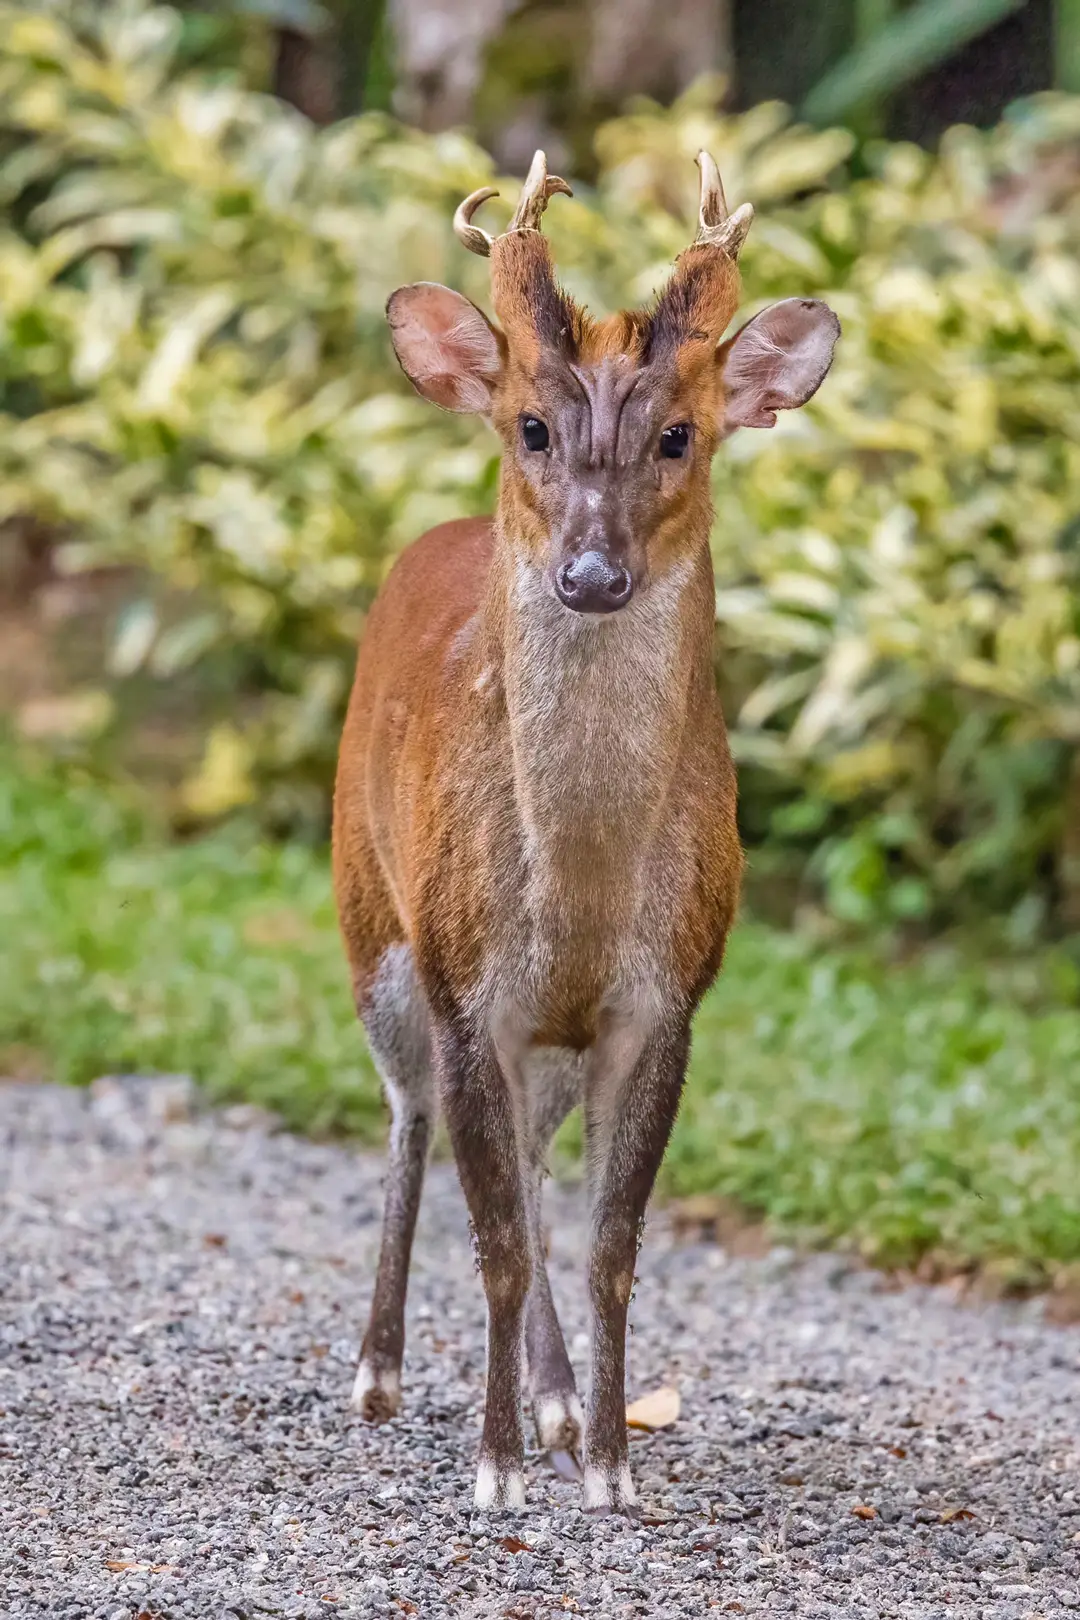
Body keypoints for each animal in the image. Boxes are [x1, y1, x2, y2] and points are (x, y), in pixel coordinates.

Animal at [333, 145, 841, 1509]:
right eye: (531, 425)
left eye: (680, 433)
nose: (593, 574)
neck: (581, 893)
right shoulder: (465, 985)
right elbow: (499, 1245)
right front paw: (498, 1468)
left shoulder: (666, 997)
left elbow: (613, 1242)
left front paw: (608, 1461)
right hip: (373, 925)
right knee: (407, 1117)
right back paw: (380, 1372)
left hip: (541, 1041)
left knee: (535, 1160)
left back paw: (558, 1400)